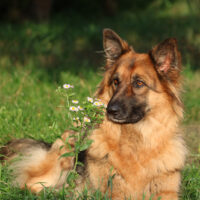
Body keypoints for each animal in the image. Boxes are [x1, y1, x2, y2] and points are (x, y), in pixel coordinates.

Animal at [0, 28, 187, 199]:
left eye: (139, 83)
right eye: (115, 81)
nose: (110, 110)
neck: (136, 142)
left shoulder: (167, 192)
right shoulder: (113, 193)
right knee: (30, 184)